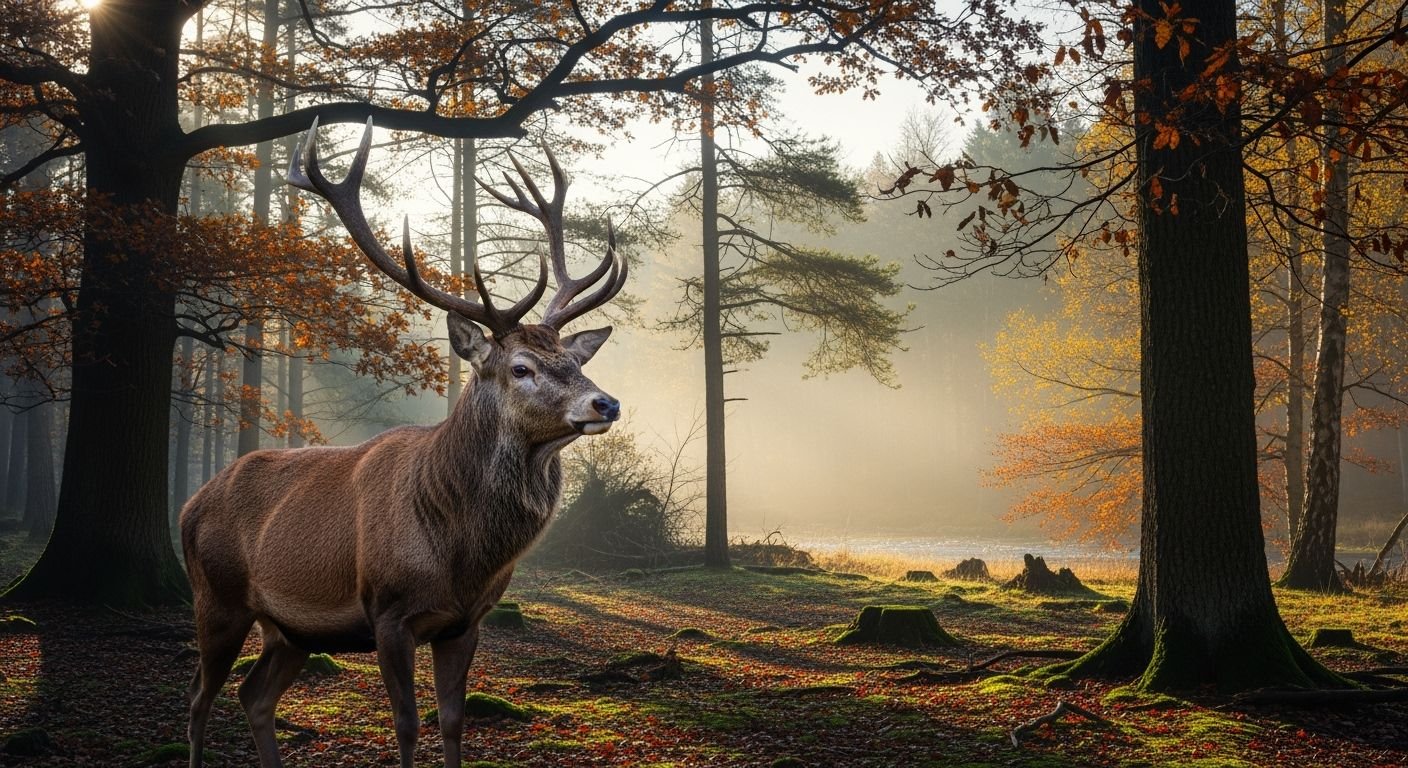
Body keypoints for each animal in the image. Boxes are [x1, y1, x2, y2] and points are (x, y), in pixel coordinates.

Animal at [180, 118, 626, 768]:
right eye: (520, 367)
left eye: (574, 360)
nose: (606, 404)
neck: (458, 554)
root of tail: (190, 504)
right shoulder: (388, 611)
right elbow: (407, 724)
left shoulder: (466, 621)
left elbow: (453, 721)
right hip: (215, 598)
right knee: (198, 698)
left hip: (290, 630)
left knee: (252, 695)